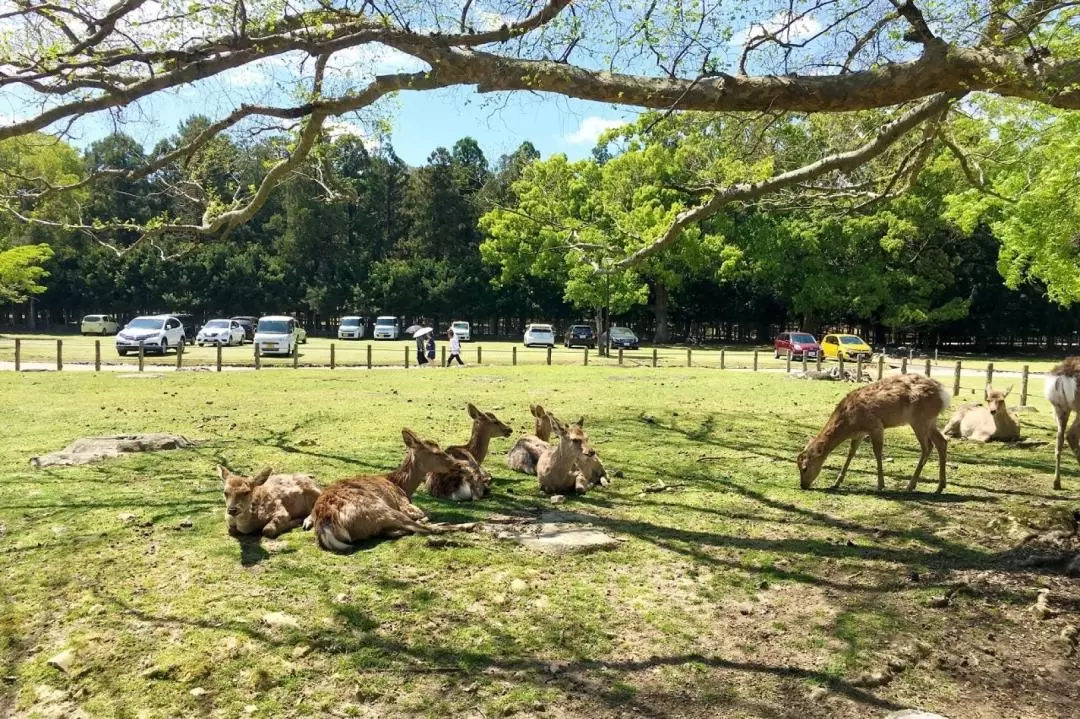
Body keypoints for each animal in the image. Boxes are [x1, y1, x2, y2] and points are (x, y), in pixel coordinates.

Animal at [304, 427, 473, 550]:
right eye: (436, 452)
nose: (458, 464)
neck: (401, 485)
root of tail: (326, 526)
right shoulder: (403, 504)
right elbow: (425, 512)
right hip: (379, 509)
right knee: (423, 528)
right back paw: (468, 525)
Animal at [794, 369, 954, 492]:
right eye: (798, 466)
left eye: (805, 467)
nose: (803, 485)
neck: (850, 423)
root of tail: (944, 394)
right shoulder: (859, 434)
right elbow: (851, 454)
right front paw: (836, 483)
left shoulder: (876, 425)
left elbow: (877, 453)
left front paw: (880, 485)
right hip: (930, 421)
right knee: (941, 442)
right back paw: (940, 486)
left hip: (920, 419)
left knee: (927, 447)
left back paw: (910, 486)